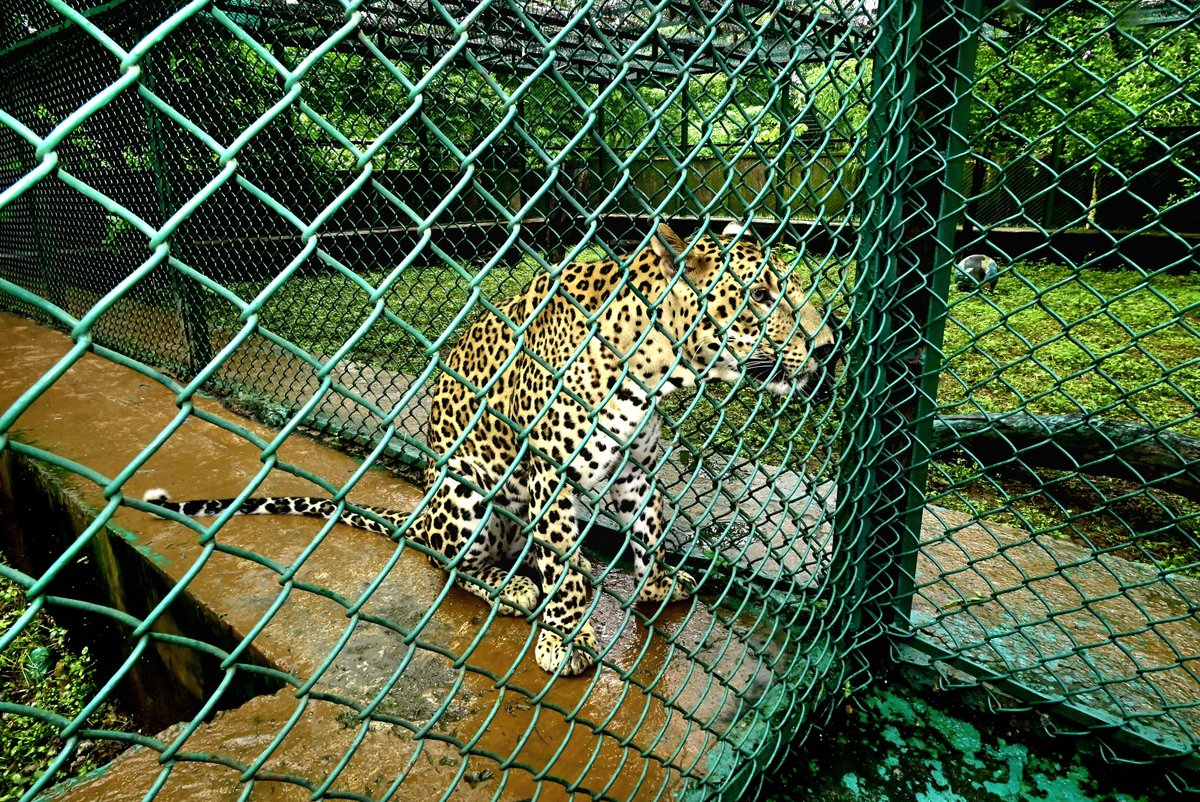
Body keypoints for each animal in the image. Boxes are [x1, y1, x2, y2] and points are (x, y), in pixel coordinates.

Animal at [142, 221, 839, 677]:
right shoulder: (552, 477)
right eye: (760, 297)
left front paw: (659, 582)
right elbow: (567, 575)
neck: (657, 367)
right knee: (449, 566)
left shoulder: (632, 471)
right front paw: (566, 640)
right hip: (468, 487)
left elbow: (650, 528)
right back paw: (514, 591)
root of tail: (418, 512)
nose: (833, 346)